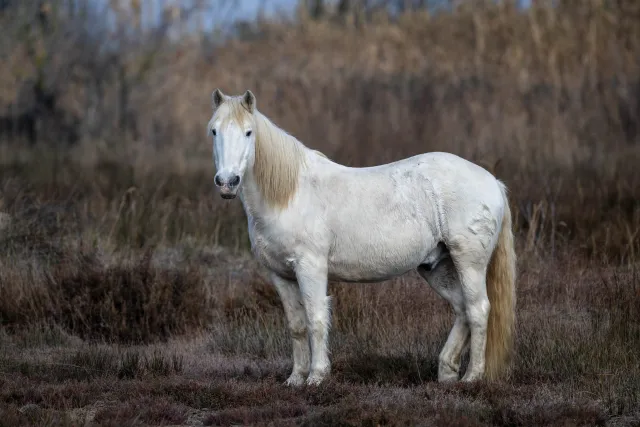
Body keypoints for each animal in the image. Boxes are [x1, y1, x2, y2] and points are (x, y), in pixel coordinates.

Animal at [208, 90, 516, 388]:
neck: (289, 195)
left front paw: (316, 377)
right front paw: (295, 379)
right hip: (437, 267)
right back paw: (447, 372)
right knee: (462, 309)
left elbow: (316, 319)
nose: (227, 182)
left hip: (469, 263)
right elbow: (296, 326)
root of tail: (493, 182)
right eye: (213, 130)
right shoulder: (280, 275)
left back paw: (472, 377)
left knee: (478, 310)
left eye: (249, 132)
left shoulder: (310, 267)